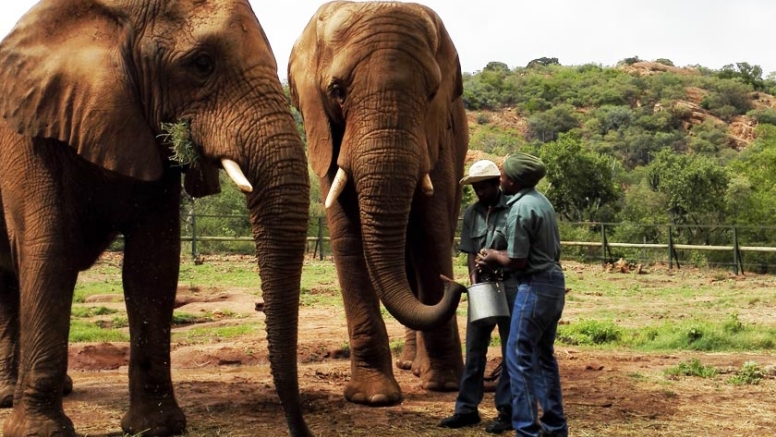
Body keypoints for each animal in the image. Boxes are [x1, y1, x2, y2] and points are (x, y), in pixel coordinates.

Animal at [0, 0, 316, 436]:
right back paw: (6, 396)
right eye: (202, 64)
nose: (301, 427)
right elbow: (48, 252)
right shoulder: (30, 130)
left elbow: (153, 263)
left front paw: (157, 427)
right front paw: (40, 432)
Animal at [286, 1, 464, 408]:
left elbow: (431, 234)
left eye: (432, 92)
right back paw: (409, 366)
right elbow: (347, 237)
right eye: (336, 90)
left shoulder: (438, 136)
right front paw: (374, 397)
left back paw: (420, 369)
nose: (456, 285)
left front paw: (445, 385)